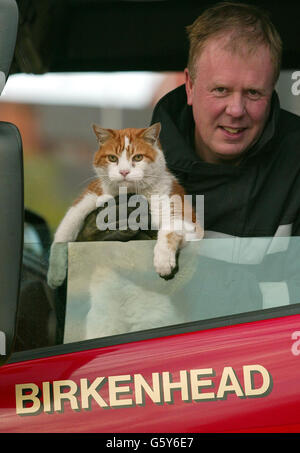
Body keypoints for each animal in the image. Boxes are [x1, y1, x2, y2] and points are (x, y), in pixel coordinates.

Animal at [47, 122, 204, 288]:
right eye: (112, 158)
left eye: (138, 157)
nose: (124, 171)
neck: (132, 194)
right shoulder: (91, 195)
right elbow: (66, 228)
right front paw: (55, 272)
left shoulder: (188, 221)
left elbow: (169, 230)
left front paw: (163, 260)